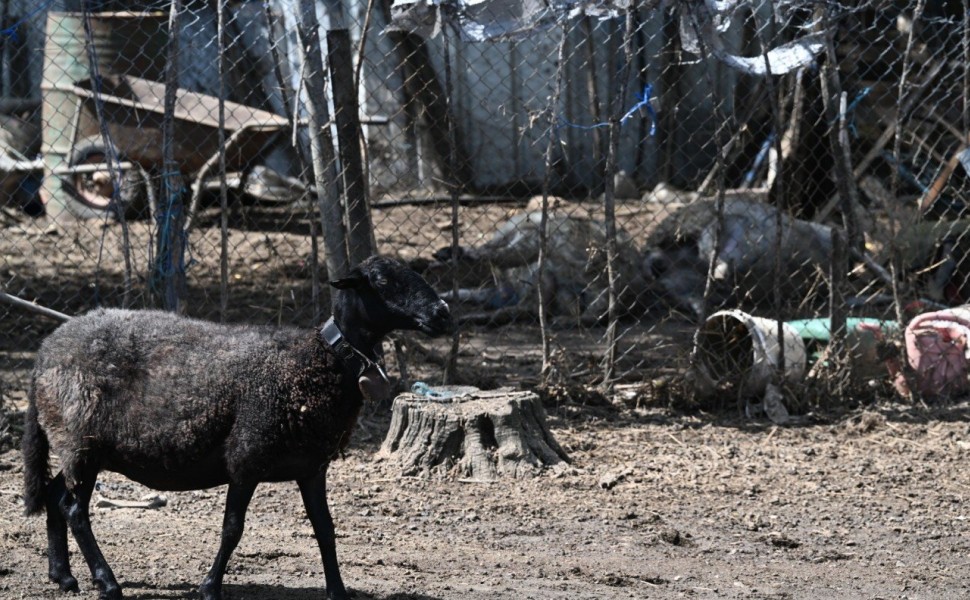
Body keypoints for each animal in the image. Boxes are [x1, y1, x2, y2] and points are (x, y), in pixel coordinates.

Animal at [21, 255, 454, 600]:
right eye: (381, 281)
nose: (443, 313)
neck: (319, 361)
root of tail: (44, 352)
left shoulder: (312, 467)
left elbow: (325, 529)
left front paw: (338, 591)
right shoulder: (247, 457)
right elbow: (233, 528)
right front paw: (209, 587)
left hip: (78, 446)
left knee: (56, 495)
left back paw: (63, 577)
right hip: (81, 440)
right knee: (75, 509)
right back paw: (107, 583)